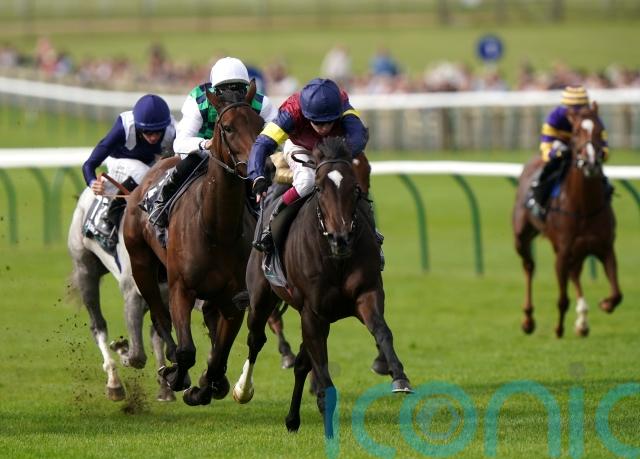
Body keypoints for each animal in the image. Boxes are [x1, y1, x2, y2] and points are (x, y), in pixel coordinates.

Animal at [67, 187, 174, 402]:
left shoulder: (165, 300)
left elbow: (157, 336)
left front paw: (165, 387)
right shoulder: (133, 295)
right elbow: (137, 357)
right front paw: (121, 349)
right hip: (85, 270)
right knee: (97, 325)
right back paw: (114, 382)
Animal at [123, 81, 265, 405]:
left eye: (261, 125)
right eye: (227, 127)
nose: (259, 167)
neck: (217, 229)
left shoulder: (234, 300)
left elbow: (219, 355)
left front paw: (207, 387)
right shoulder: (181, 288)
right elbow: (187, 350)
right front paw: (177, 376)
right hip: (142, 265)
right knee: (160, 318)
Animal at [232, 137, 412, 437]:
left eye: (355, 188)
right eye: (318, 188)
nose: (341, 238)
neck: (334, 257)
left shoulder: (366, 295)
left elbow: (382, 331)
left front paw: (398, 376)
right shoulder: (313, 313)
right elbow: (321, 368)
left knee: (302, 364)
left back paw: (293, 419)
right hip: (261, 298)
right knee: (256, 340)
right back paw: (243, 390)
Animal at [512, 101, 622, 338]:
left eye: (601, 130)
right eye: (577, 131)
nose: (591, 163)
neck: (584, 206)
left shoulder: (605, 247)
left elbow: (617, 293)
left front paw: (605, 304)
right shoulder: (562, 252)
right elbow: (562, 299)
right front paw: (558, 329)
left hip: (578, 251)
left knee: (575, 273)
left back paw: (582, 322)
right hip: (521, 237)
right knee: (529, 266)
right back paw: (528, 320)